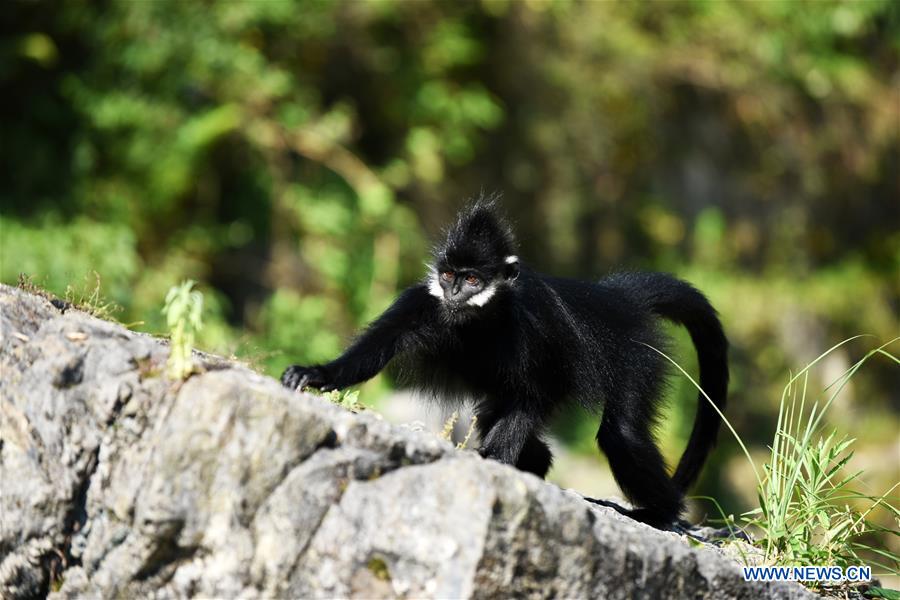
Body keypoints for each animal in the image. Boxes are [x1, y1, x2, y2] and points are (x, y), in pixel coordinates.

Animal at [284, 197, 728, 524]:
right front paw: (316, 374)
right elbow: (372, 352)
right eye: (449, 276)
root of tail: (614, 300)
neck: (479, 320)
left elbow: (539, 389)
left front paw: (493, 462)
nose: (455, 293)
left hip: (636, 356)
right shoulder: (421, 303)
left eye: (473, 279)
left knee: (620, 433)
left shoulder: (533, 322)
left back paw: (664, 511)